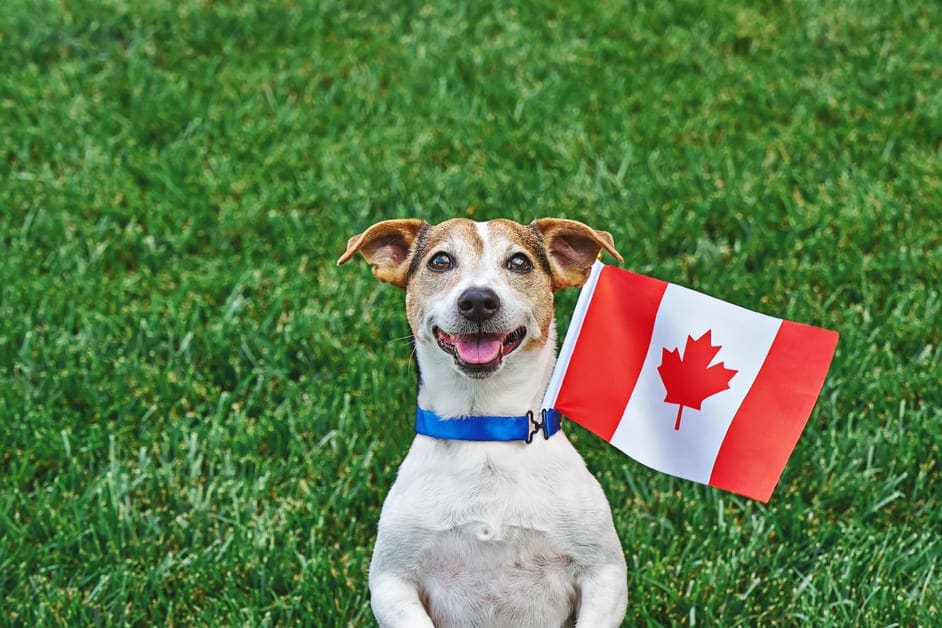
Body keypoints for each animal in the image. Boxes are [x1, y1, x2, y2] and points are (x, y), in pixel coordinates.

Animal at [338, 217, 628, 628]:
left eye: (519, 262)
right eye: (440, 261)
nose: (477, 300)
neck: (485, 427)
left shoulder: (604, 574)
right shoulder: (392, 581)